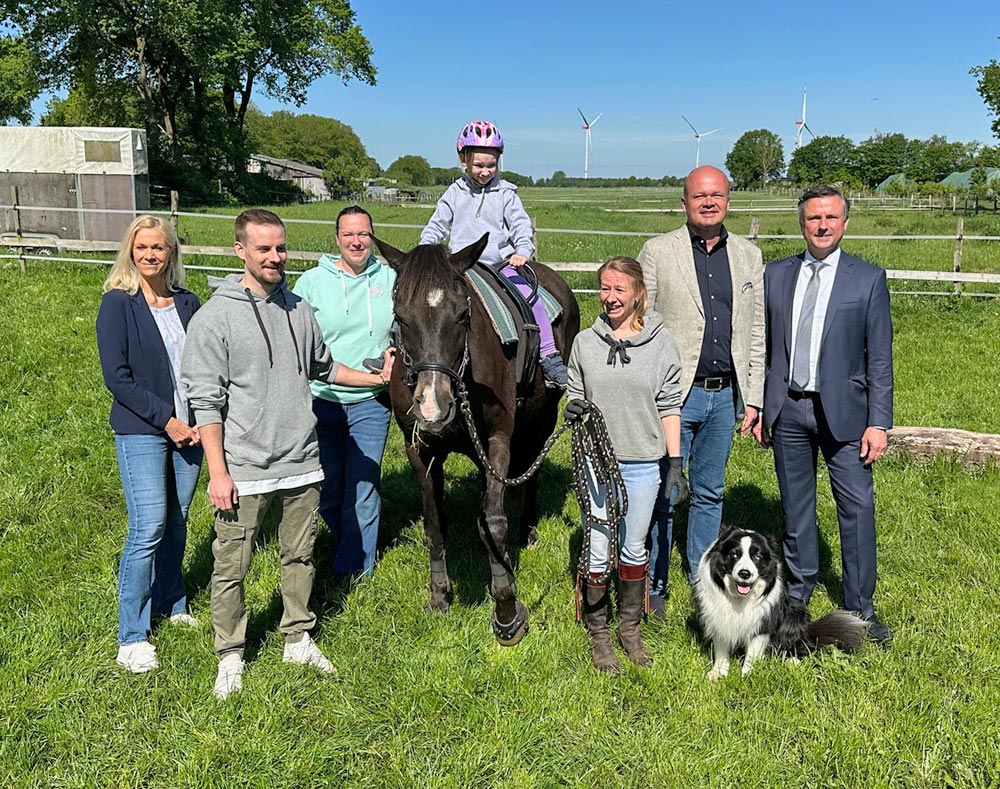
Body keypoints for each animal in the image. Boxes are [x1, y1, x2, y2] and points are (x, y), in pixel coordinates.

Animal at [374, 231, 580, 644]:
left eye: (463, 316)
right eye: (400, 318)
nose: (433, 406)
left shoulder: (497, 441)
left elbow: (493, 522)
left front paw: (506, 610)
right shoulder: (418, 449)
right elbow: (434, 523)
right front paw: (439, 596)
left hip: (544, 418)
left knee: (531, 474)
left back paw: (528, 530)